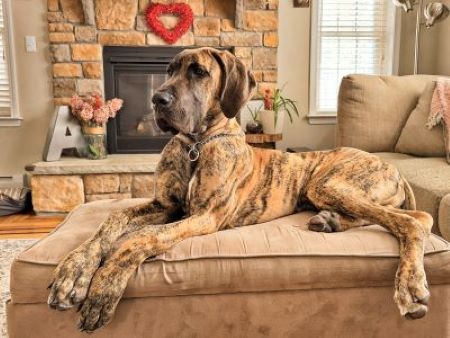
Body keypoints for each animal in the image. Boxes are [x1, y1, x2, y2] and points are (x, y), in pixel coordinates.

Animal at [48, 47, 432, 332]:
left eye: (198, 72)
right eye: (168, 70)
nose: (157, 99)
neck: (197, 144)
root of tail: (394, 168)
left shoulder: (204, 216)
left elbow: (143, 237)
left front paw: (104, 285)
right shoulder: (164, 204)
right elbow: (111, 221)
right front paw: (74, 271)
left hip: (328, 182)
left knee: (414, 219)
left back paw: (409, 286)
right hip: (324, 191)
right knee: (392, 216)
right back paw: (329, 222)